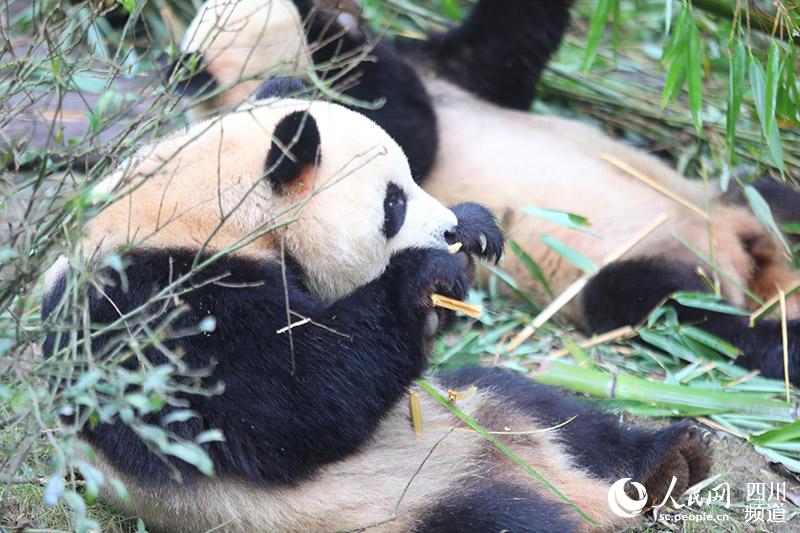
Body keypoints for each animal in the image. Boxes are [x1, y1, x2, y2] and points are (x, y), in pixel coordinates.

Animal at [42, 86, 712, 531]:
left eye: (414, 179)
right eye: (392, 203)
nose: (447, 232)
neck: (196, 208)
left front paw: (476, 228)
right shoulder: (144, 308)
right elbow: (291, 402)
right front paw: (426, 277)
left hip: (480, 407)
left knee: (553, 411)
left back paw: (669, 459)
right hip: (395, 510)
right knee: (502, 518)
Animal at [172, 0, 800, 381]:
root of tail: (742, 255)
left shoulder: (451, 65)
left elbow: (506, 47)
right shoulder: (329, 134)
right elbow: (408, 131)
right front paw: (335, 26)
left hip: (737, 199)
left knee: (773, 197)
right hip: (640, 270)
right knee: (681, 313)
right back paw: (780, 337)